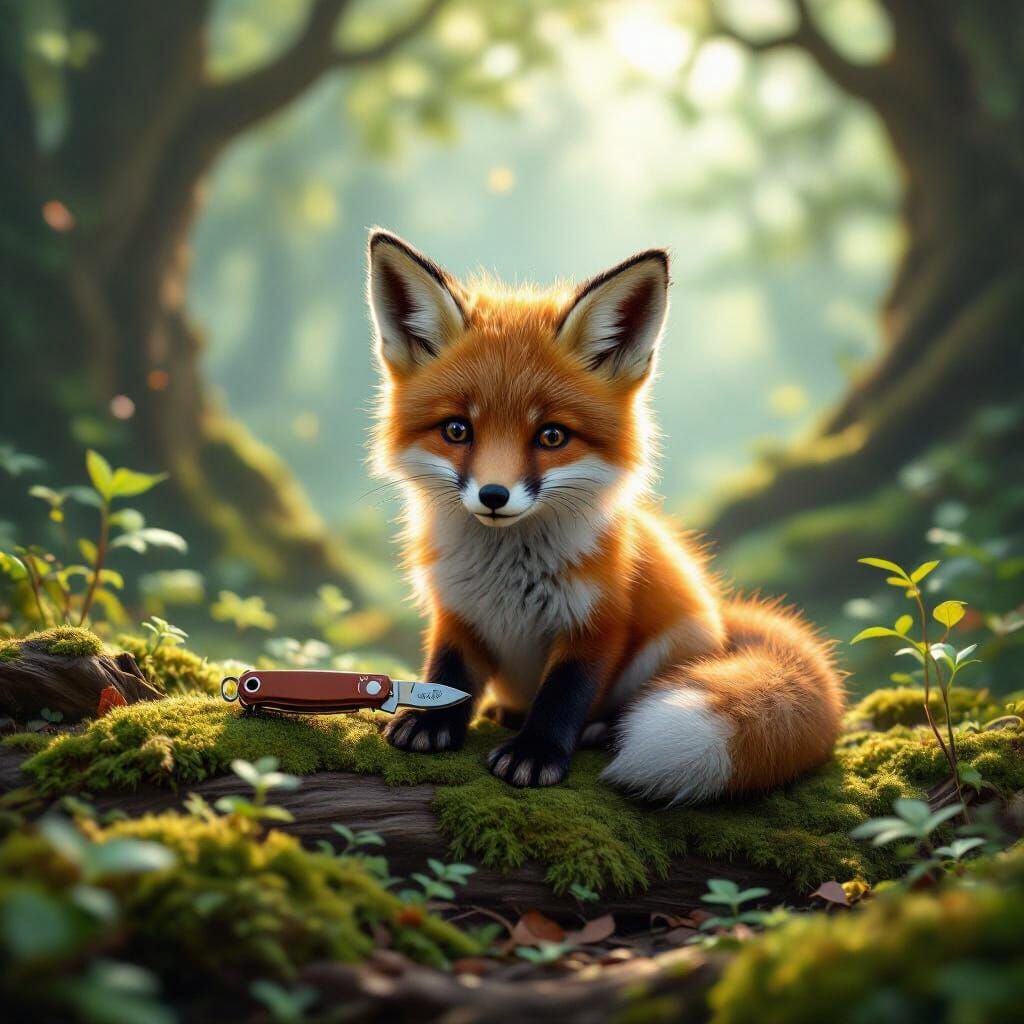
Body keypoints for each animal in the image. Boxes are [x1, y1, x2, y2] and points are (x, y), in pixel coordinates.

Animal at [366, 229, 844, 802]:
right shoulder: (457, 610)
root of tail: (723, 615)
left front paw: (536, 753)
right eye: (457, 430)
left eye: (552, 436)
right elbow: (449, 674)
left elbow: (564, 696)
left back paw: (602, 729)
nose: (493, 495)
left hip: (667, 647)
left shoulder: (598, 621)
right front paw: (432, 722)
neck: (507, 576)